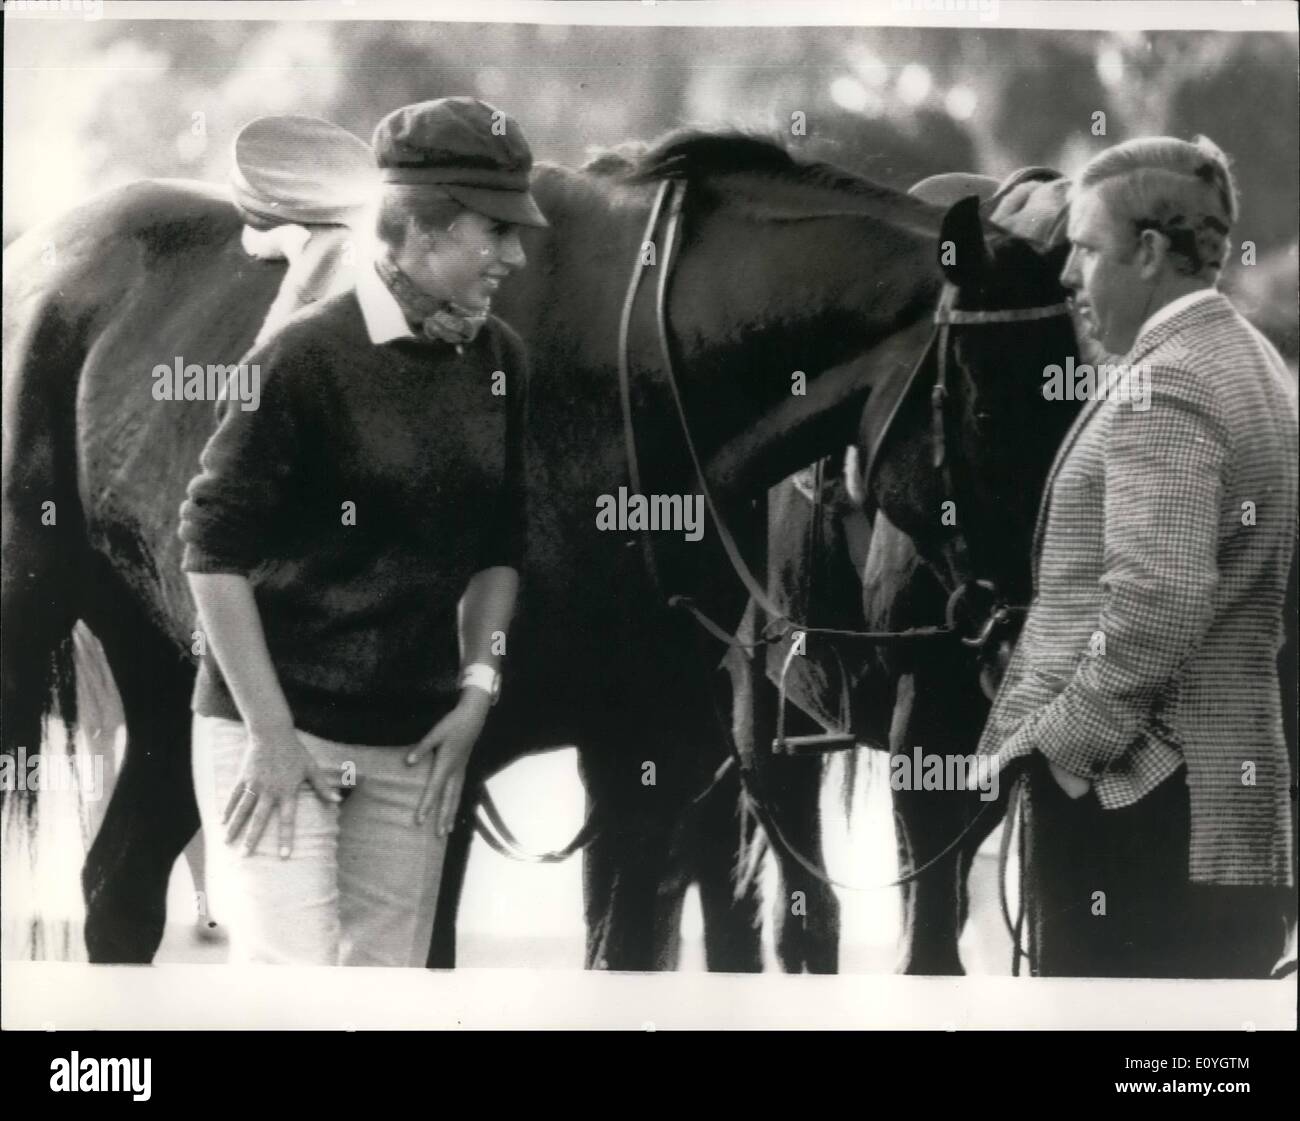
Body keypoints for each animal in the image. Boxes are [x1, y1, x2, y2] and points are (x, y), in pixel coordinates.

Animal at [7, 131, 977, 972]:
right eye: (985, 382)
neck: (631, 386)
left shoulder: (649, 749)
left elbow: (625, 944)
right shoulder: (454, 770)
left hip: (178, 676)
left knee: (121, 889)